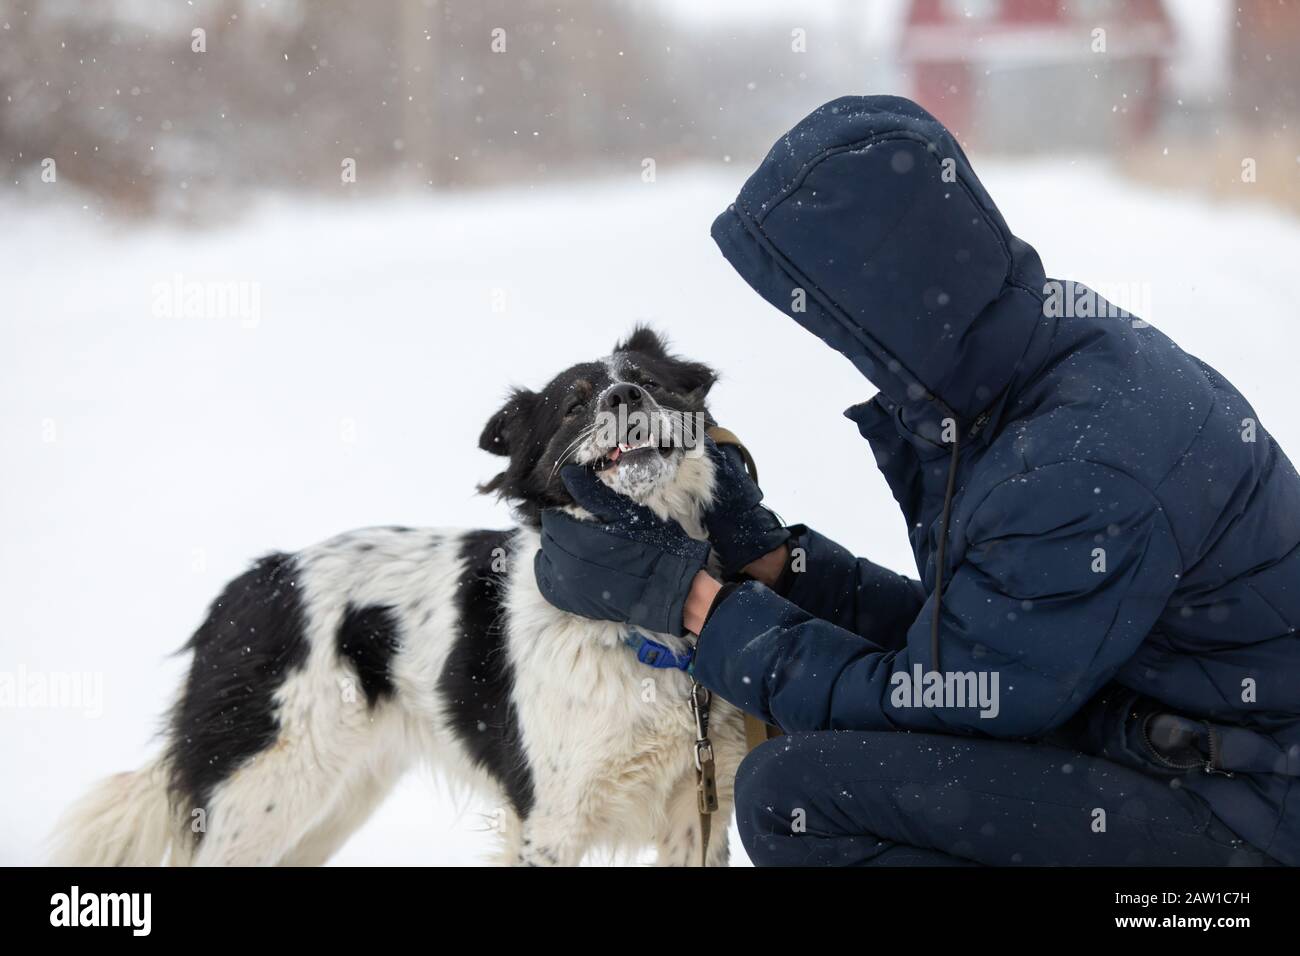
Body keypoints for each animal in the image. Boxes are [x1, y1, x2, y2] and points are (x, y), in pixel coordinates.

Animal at [55, 329, 748, 868]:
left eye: (649, 381)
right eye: (574, 406)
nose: (623, 397)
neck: (633, 620)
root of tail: (251, 585)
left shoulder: (697, 813)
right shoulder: (549, 819)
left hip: (332, 798)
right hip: (267, 793)